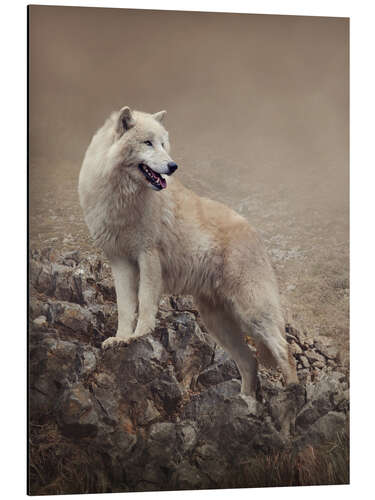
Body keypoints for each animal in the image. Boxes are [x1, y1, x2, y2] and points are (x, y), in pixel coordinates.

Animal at [79, 105, 300, 394]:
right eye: (148, 143)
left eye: (164, 144)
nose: (173, 166)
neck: (122, 198)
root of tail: (254, 231)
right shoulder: (120, 261)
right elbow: (125, 307)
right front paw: (120, 339)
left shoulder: (148, 256)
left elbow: (145, 303)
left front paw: (139, 335)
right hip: (217, 322)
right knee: (250, 362)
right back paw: (245, 401)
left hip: (252, 312)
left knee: (284, 351)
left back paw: (292, 391)